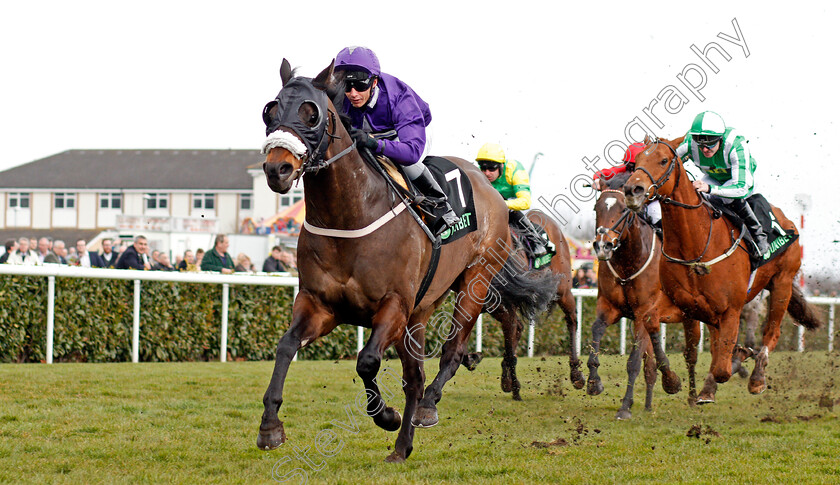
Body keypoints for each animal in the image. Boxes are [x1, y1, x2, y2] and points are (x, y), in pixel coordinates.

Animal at [256, 60, 556, 462]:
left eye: (311, 113)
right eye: (270, 111)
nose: (278, 170)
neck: (349, 216)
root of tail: (492, 191)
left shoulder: (394, 305)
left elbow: (367, 361)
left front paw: (386, 415)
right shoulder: (320, 305)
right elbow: (286, 346)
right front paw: (270, 427)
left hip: (473, 283)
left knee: (451, 352)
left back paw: (427, 407)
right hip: (420, 310)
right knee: (415, 376)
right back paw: (402, 447)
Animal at [460, 209, 584, 400]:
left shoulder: (506, 305)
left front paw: (516, 388)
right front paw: (474, 358)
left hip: (563, 290)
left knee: (572, 321)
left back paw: (577, 375)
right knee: (517, 328)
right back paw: (506, 378)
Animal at [592, 172, 704, 418]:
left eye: (623, 209)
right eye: (597, 208)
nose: (603, 246)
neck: (629, 262)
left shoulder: (644, 311)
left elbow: (633, 362)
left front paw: (625, 406)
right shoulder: (609, 307)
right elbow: (595, 334)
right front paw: (593, 382)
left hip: (691, 318)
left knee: (691, 356)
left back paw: (693, 397)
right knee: (652, 364)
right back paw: (649, 403)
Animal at [624, 135, 820, 400]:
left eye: (663, 160)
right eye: (636, 163)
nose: (631, 191)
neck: (695, 245)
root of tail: (785, 219)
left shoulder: (731, 309)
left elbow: (722, 369)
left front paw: (736, 361)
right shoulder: (684, 304)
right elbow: (651, 320)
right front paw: (672, 381)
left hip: (783, 283)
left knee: (771, 332)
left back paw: (757, 377)